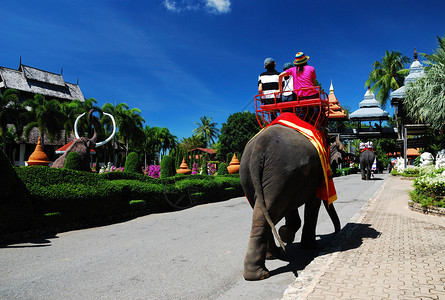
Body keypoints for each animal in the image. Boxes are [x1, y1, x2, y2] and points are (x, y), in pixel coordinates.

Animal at [239, 122, 340, 282]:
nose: (336, 234)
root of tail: (258, 148)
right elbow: (313, 203)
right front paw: (308, 245)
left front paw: (286, 233)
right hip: (280, 172)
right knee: (270, 210)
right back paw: (262, 271)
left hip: (256, 176)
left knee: (263, 211)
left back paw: (263, 266)